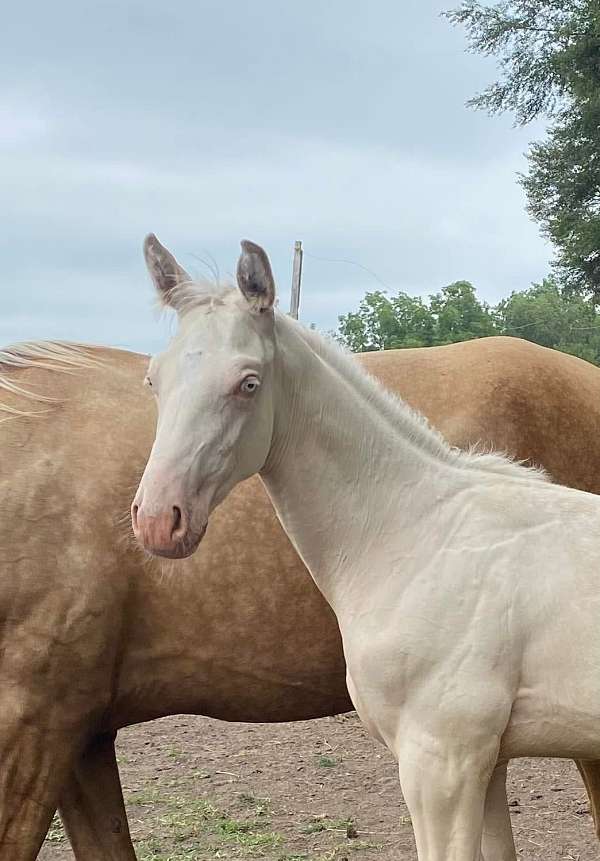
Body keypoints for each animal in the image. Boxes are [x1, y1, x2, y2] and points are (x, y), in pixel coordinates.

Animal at [133, 234, 600, 861]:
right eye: (154, 379)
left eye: (248, 382)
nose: (159, 520)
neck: (416, 536)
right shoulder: (489, 764)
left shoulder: (442, 764)